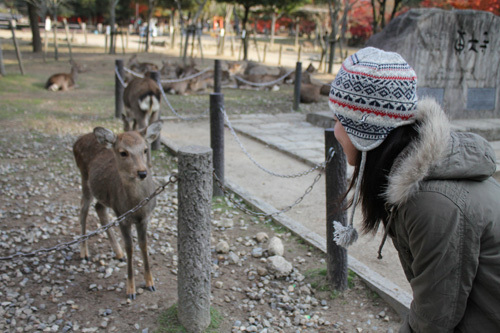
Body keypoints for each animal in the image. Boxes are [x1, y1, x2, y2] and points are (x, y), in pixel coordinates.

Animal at [73, 120, 162, 298]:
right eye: (123, 152)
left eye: (145, 149)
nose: (142, 172)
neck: (135, 206)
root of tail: (76, 142)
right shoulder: (122, 217)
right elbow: (130, 247)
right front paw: (130, 290)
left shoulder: (145, 218)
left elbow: (143, 245)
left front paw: (150, 283)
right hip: (84, 177)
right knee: (83, 209)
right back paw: (84, 252)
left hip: (103, 195)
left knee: (98, 207)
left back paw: (118, 253)